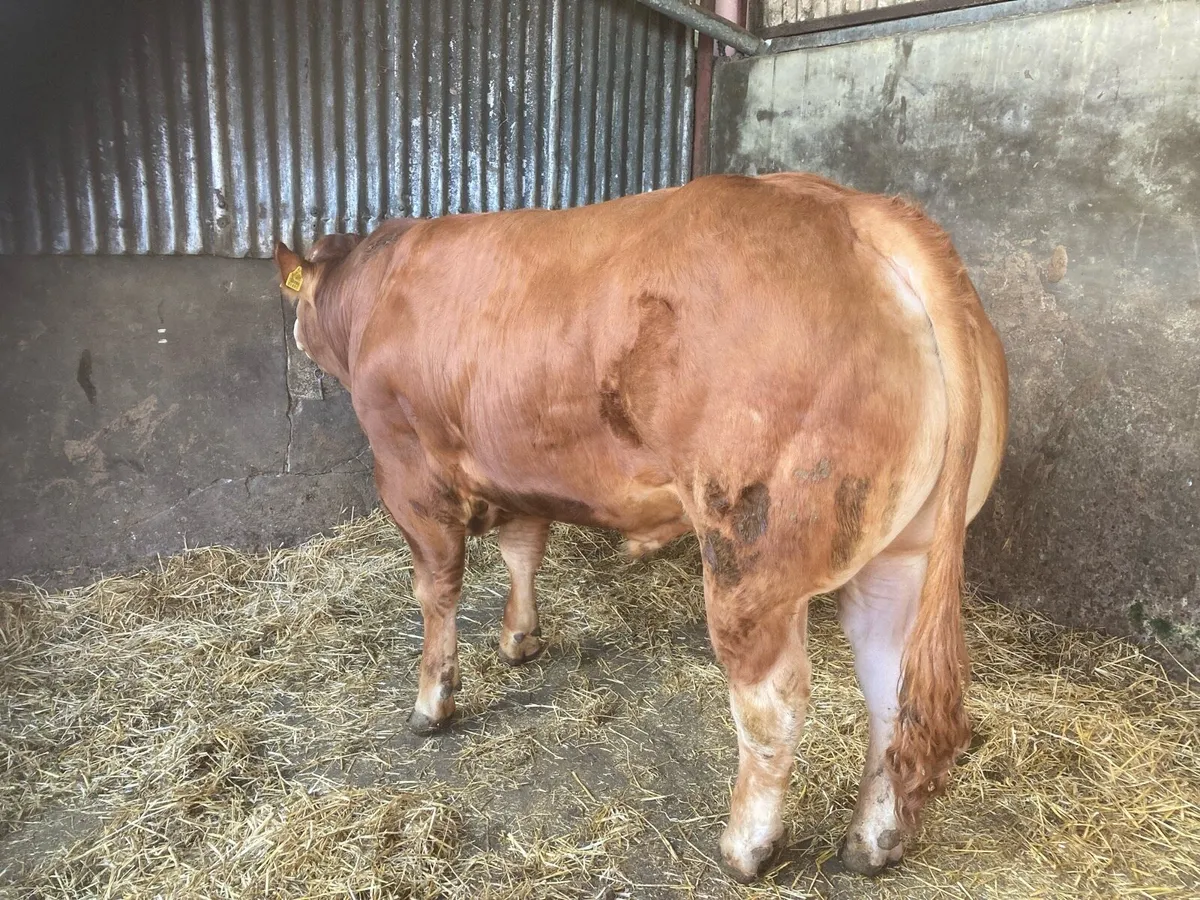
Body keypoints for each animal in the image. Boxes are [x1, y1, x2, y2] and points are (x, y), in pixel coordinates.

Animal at [273, 172, 1008, 882]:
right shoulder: (521, 466)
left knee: (775, 703)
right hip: (904, 554)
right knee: (891, 689)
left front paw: (432, 701)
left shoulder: (407, 471)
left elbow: (437, 591)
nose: (296, 339)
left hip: (750, 556)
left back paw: (747, 847)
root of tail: (854, 209)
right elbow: (522, 551)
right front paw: (519, 638)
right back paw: (875, 841)